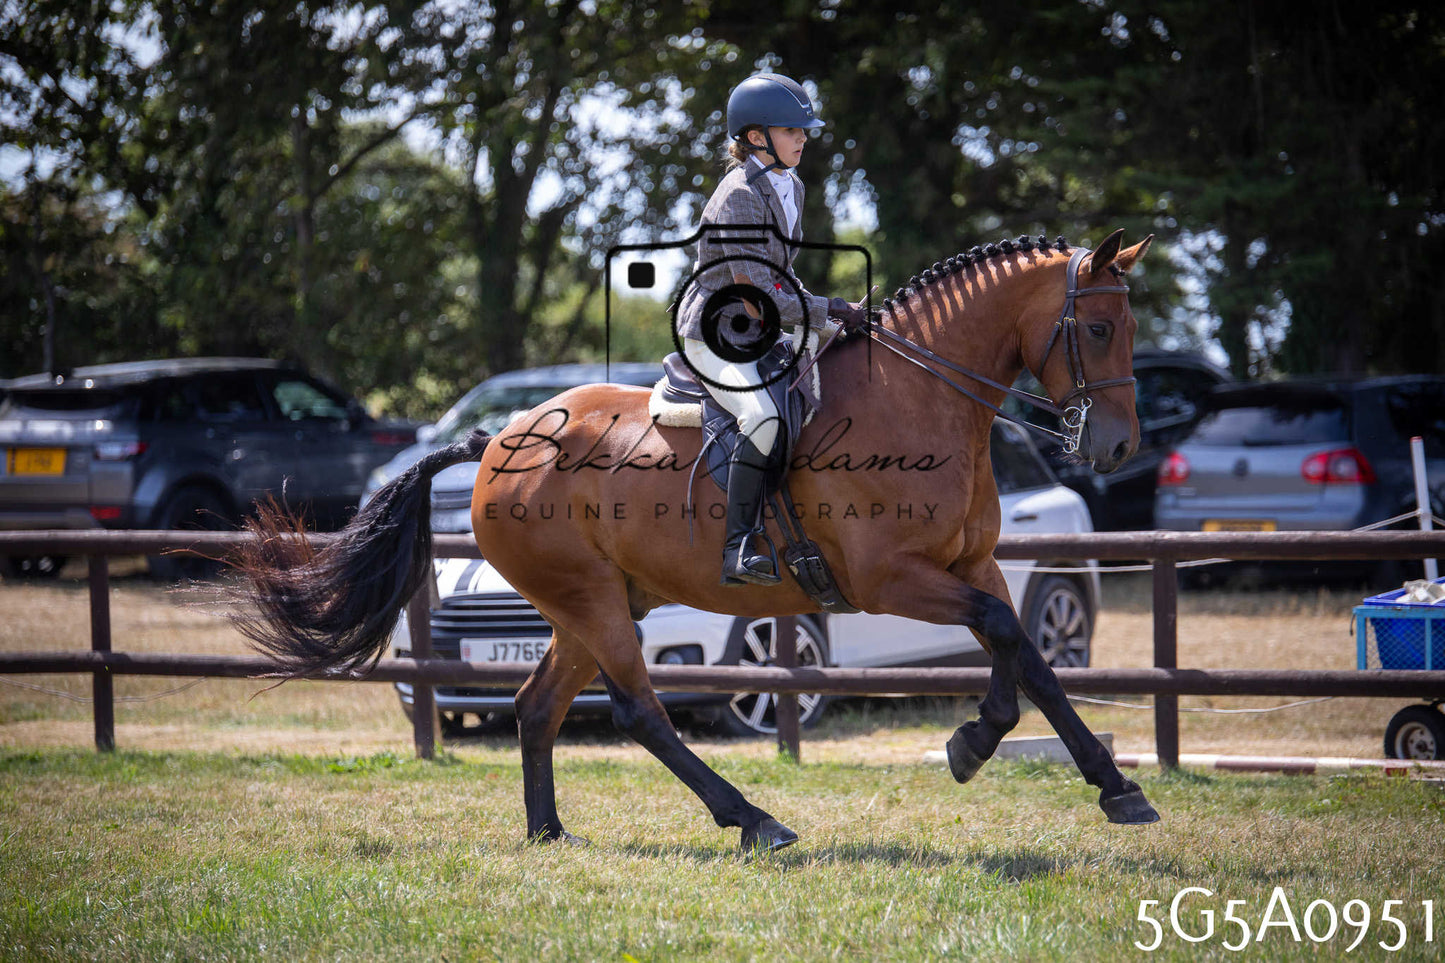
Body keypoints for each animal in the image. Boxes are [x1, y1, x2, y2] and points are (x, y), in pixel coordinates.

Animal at [234, 229, 1158, 853]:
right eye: (1098, 330)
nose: (1116, 446)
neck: (919, 394)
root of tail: (499, 439)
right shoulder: (888, 577)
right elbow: (1004, 639)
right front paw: (977, 743)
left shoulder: (973, 566)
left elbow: (1026, 655)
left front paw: (1104, 784)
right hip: (593, 602)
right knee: (641, 711)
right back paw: (753, 819)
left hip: (585, 606)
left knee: (536, 706)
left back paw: (549, 832)